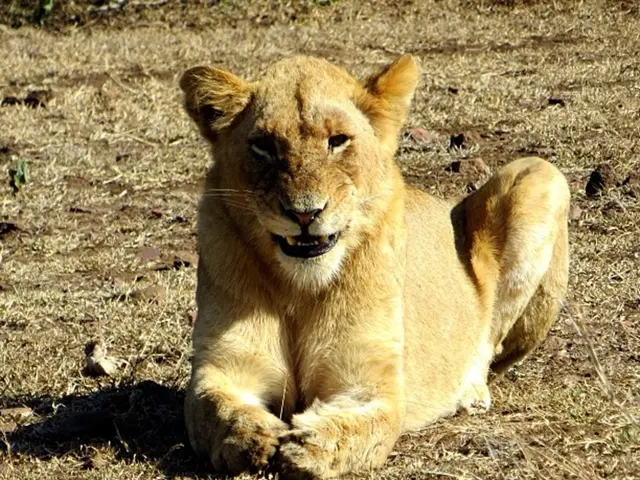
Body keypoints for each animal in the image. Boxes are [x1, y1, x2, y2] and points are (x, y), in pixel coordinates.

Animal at [179, 55, 569, 479]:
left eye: (337, 140)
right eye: (264, 145)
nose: (304, 213)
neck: (299, 289)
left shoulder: (369, 383)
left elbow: (365, 427)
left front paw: (312, 446)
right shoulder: (225, 366)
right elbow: (213, 409)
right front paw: (253, 437)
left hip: (540, 174)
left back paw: (468, 392)